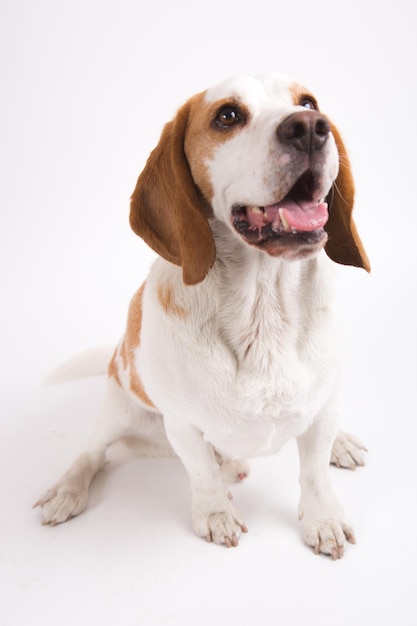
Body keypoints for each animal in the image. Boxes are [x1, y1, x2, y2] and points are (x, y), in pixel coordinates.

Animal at [34, 75, 368, 560]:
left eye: (308, 102)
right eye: (227, 116)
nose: (309, 127)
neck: (263, 309)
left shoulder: (322, 410)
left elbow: (314, 471)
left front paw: (322, 517)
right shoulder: (184, 427)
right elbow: (202, 475)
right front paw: (215, 514)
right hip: (116, 409)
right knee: (92, 453)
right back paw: (69, 488)